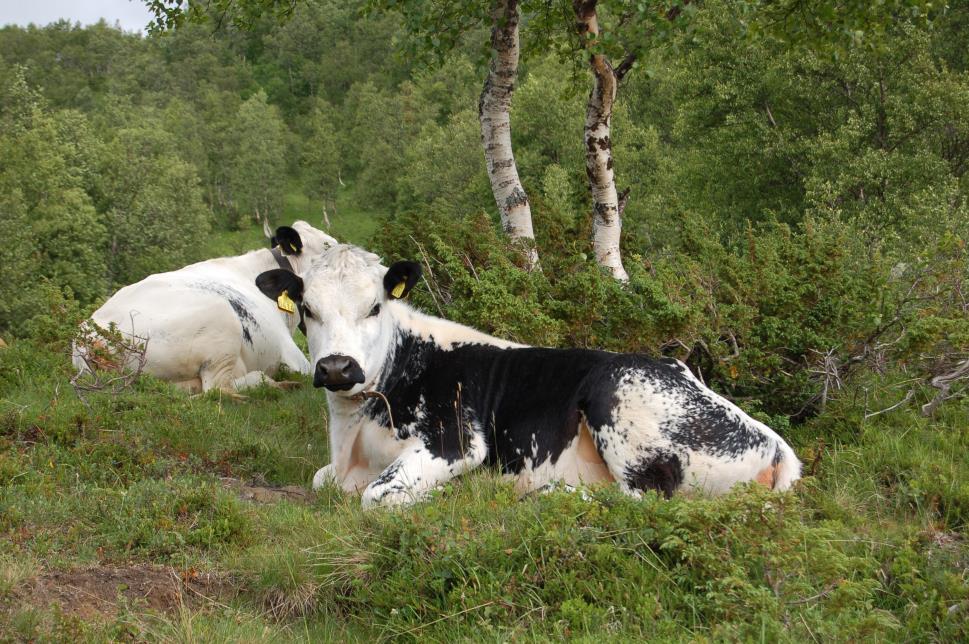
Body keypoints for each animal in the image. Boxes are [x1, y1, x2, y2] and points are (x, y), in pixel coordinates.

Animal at [253, 244, 796, 506]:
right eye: (306, 310)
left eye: (374, 307)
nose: (337, 366)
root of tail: (774, 443)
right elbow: (321, 480)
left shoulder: (458, 442)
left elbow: (377, 496)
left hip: (620, 395)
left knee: (647, 499)